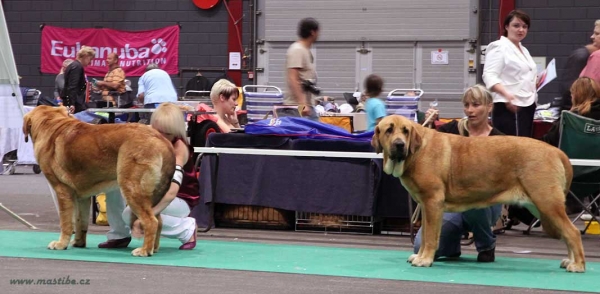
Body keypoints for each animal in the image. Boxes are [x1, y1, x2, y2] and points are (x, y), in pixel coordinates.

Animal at [23, 106, 173, 258]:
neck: (51, 124)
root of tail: (160, 139)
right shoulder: (81, 198)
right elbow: (80, 222)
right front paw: (78, 243)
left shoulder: (62, 191)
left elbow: (66, 222)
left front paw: (61, 244)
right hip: (151, 195)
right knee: (159, 221)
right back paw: (154, 248)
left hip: (131, 188)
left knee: (151, 221)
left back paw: (144, 250)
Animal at [370, 115, 584, 274]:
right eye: (389, 130)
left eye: (405, 131)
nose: (399, 144)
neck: (417, 150)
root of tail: (556, 151)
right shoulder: (425, 205)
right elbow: (424, 236)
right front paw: (420, 255)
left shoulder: (433, 202)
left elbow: (430, 236)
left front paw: (425, 260)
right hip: (540, 207)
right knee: (567, 233)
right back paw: (570, 261)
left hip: (547, 203)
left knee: (572, 232)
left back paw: (578, 265)